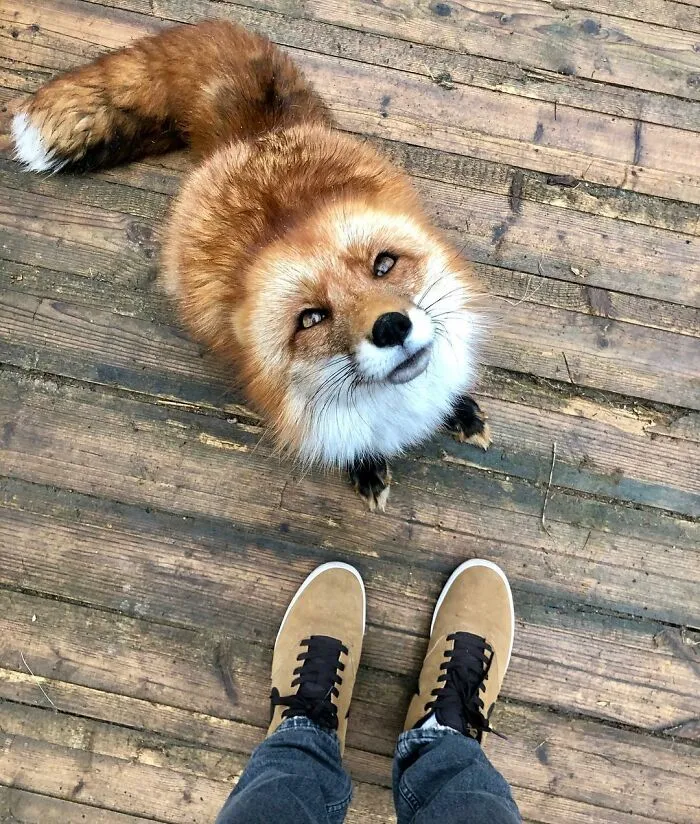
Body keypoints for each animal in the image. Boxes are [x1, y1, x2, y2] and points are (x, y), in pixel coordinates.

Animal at [11, 19, 491, 510]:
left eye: (383, 265)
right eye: (311, 318)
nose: (391, 326)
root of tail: (251, 136)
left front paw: (460, 410)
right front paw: (367, 466)